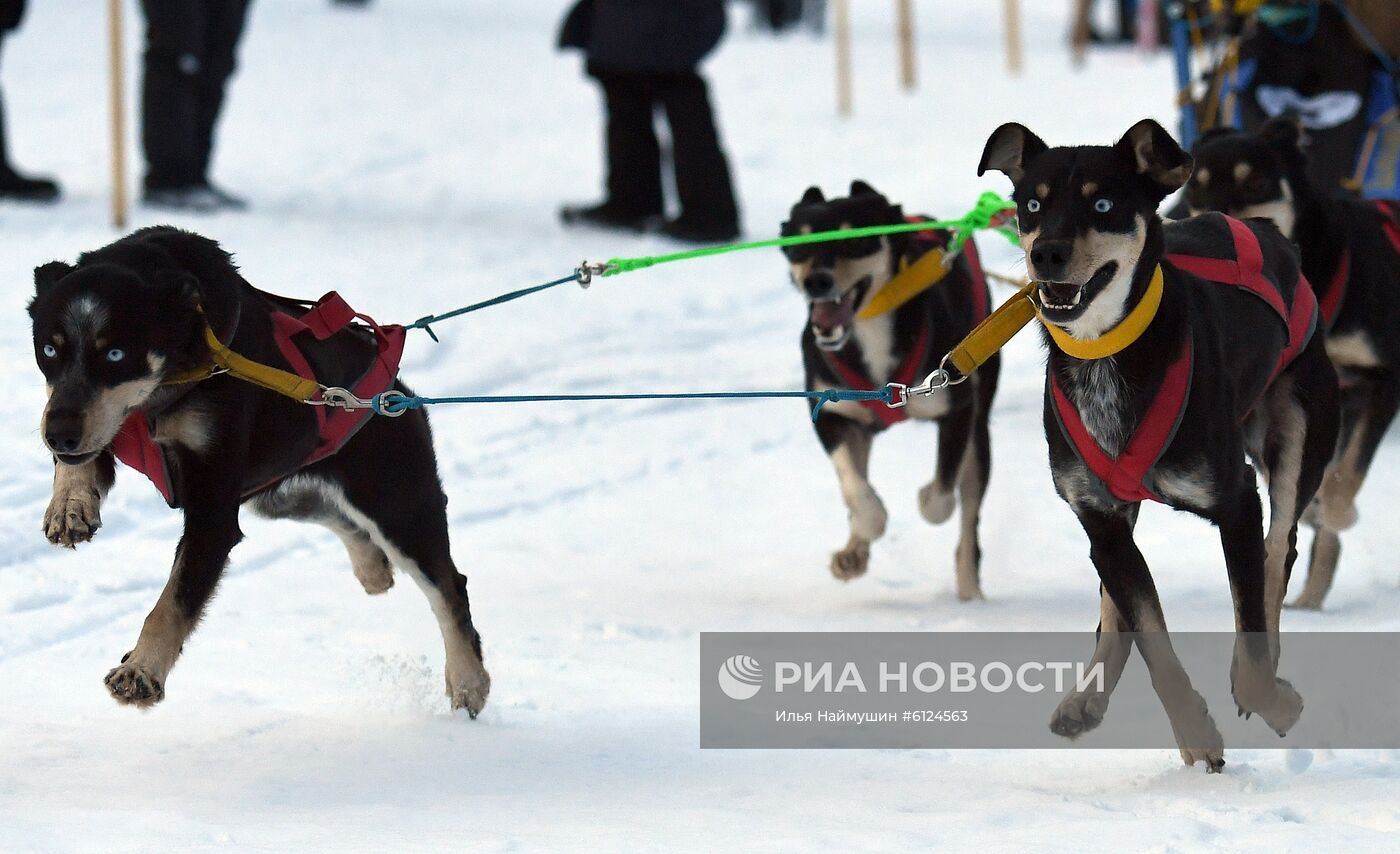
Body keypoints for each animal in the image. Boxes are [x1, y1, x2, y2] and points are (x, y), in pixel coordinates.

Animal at [27, 224, 492, 711]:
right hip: (277, 494)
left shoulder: (212, 510)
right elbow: (78, 461)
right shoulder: (91, 426)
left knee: (448, 586)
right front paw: (69, 504)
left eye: (116, 354)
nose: (58, 434)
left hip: (394, 506)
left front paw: (141, 670)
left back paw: (468, 680)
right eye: (48, 349)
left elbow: (173, 602)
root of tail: (397, 395)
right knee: (345, 522)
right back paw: (373, 568)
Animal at [784, 180, 1002, 596]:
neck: (870, 327)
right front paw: (862, 535)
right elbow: (857, 492)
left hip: (979, 429)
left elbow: (941, 498)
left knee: (968, 520)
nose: (816, 281)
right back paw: (854, 551)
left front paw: (926, 496)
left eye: (854, 239)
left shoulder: (957, 409)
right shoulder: (832, 413)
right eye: (800, 243)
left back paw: (971, 593)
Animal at [1181, 116, 1400, 607]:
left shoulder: (1383, 379)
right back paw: (1309, 602)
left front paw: (1338, 512)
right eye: (1194, 187)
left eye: (1254, 182)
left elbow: (1345, 475)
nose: (1214, 226)